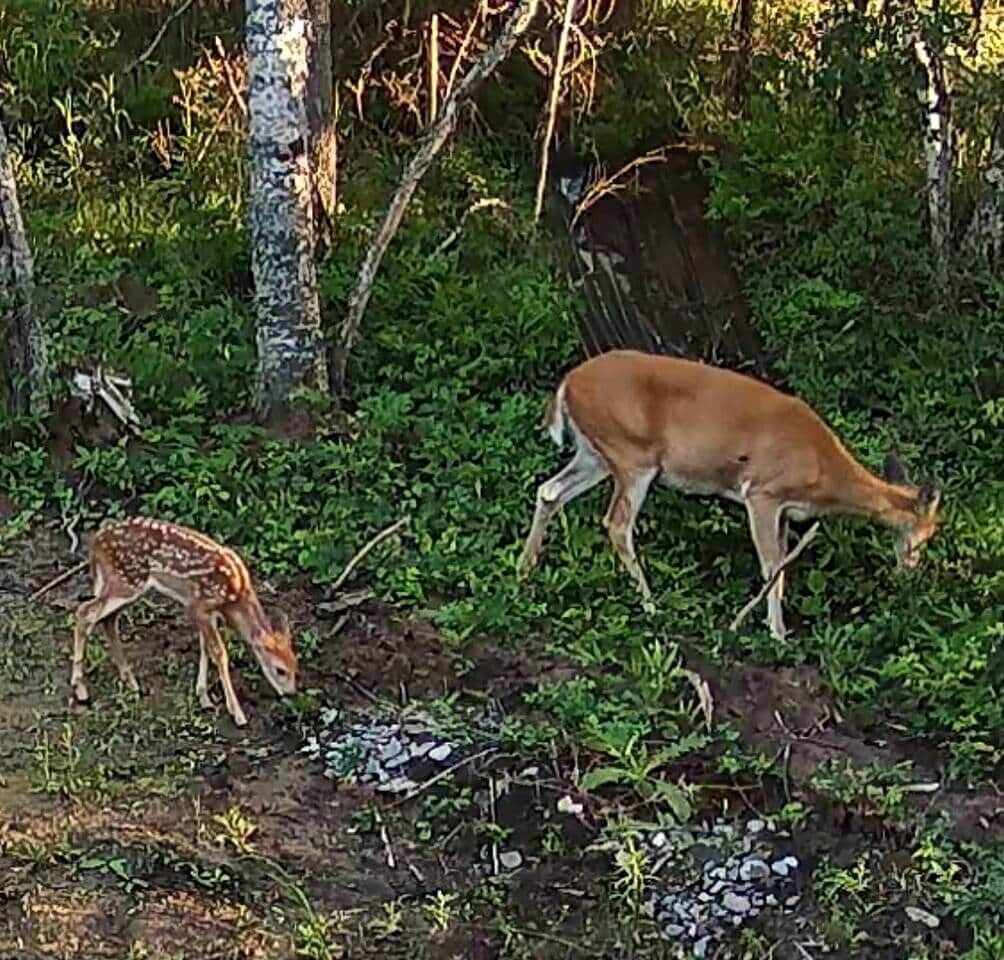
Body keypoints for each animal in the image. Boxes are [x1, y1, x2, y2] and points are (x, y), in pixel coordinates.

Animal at [71, 517, 298, 726]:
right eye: (280, 670)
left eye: (296, 666)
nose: (291, 694)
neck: (234, 599)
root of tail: (96, 542)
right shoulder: (199, 605)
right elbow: (219, 653)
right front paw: (237, 714)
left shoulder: (208, 613)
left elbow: (205, 647)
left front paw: (204, 697)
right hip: (126, 581)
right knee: (85, 613)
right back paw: (81, 690)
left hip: (126, 586)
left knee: (108, 620)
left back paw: (131, 683)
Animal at [518, 349, 942, 640]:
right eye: (928, 533)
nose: (912, 572)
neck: (823, 472)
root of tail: (567, 384)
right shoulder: (762, 493)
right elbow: (772, 566)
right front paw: (776, 634)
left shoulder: (785, 510)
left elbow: (783, 564)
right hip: (632, 454)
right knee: (617, 523)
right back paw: (650, 604)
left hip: (595, 454)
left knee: (549, 491)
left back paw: (525, 569)